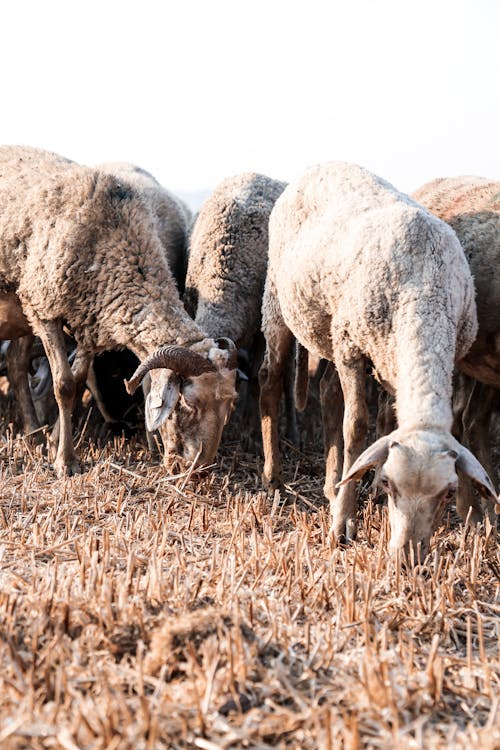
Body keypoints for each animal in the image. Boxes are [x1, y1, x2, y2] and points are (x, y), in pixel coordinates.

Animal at [0, 144, 237, 478]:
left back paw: (33, 432)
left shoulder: (88, 321)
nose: (198, 469)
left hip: (22, 309)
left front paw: (53, 442)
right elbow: (64, 385)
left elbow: (78, 380)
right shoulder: (45, 309)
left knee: (16, 364)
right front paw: (65, 462)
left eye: (230, 403)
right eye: (188, 404)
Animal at [258, 160, 496, 560]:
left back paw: (331, 482)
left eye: (447, 491)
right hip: (280, 300)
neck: (423, 290)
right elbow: (356, 428)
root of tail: (325, 163)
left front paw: (473, 521)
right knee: (270, 382)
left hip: (333, 331)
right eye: (388, 483)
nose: (407, 558)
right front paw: (342, 525)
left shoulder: (437, 358)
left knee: (328, 392)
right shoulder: (352, 348)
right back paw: (273, 476)